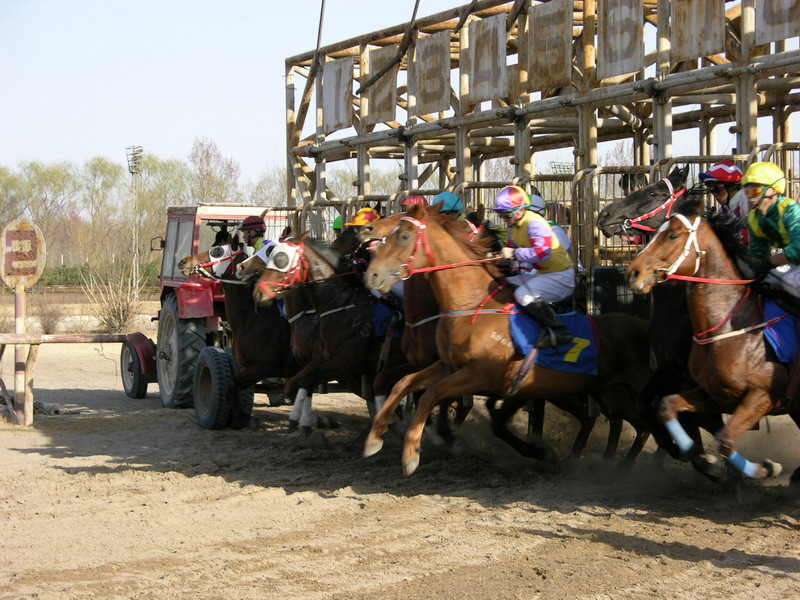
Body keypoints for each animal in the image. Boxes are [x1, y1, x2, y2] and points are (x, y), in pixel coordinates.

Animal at [178, 233, 294, 426]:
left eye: (217, 250)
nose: (183, 261)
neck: (255, 316)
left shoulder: (265, 366)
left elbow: (232, 386)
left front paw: (242, 418)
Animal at [366, 204, 652, 476]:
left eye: (404, 235)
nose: (372, 275)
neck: (471, 305)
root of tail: (646, 325)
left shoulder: (482, 375)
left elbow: (430, 395)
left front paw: (412, 453)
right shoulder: (450, 366)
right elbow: (403, 384)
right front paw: (375, 437)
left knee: (635, 423)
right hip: (609, 391)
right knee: (633, 423)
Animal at [624, 198, 800, 482]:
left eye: (672, 235)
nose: (633, 273)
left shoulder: (760, 396)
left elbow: (723, 437)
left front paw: (759, 469)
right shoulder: (703, 387)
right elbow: (661, 406)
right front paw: (701, 458)